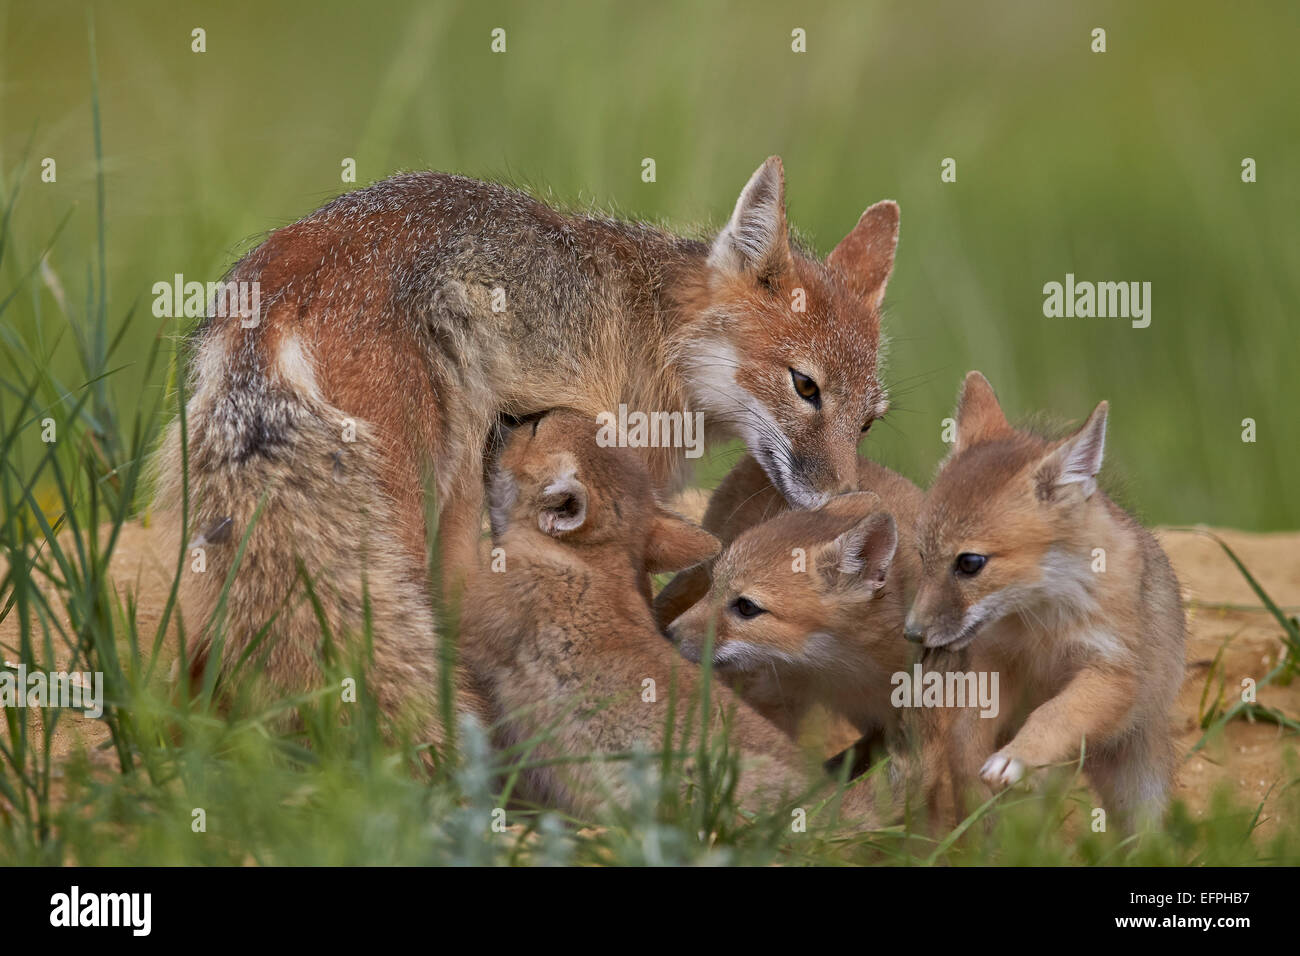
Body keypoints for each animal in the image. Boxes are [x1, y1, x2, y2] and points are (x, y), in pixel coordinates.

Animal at [904, 369, 1190, 827]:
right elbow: (966, 733)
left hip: (1139, 787)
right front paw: (976, 781)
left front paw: (1019, 757)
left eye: (970, 563)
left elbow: (1055, 712)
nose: (913, 632)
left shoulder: (1112, 673)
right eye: (920, 555)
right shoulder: (996, 661)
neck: (1042, 624)